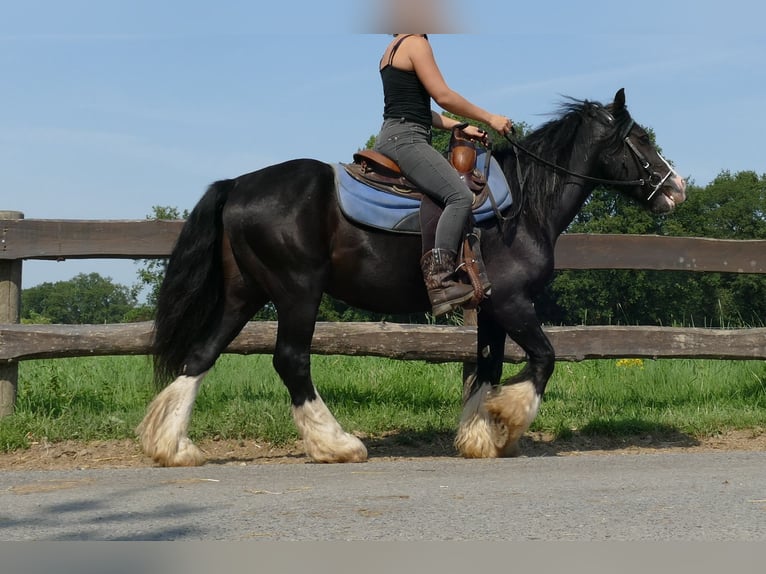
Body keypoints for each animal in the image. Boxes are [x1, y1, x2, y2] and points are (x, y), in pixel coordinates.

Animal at [138, 90, 688, 468]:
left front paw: (479, 436)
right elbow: (543, 359)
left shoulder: (491, 308)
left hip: (244, 293)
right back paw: (337, 443)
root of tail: (237, 185)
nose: (677, 189)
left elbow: (486, 367)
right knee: (291, 360)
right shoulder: (512, 302)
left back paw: (172, 446)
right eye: (642, 140)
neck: (524, 206)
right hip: (297, 291)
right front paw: (507, 419)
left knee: (202, 355)